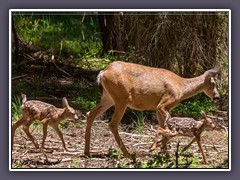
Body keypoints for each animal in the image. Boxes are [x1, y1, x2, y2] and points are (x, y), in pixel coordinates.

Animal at [84, 60, 219, 158]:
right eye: (213, 83)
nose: (217, 97)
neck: (181, 87)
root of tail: (103, 72)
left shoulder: (157, 108)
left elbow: (163, 125)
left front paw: (164, 152)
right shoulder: (164, 103)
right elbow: (168, 125)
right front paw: (158, 148)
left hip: (108, 97)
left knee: (90, 114)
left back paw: (87, 152)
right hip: (121, 98)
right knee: (112, 124)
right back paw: (128, 154)